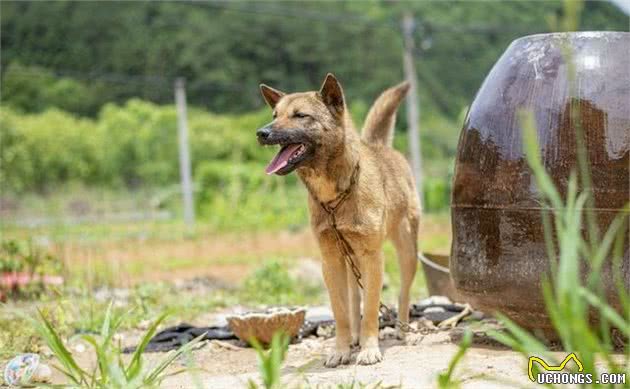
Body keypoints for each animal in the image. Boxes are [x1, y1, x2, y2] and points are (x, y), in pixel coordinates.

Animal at [256, 73, 420, 366]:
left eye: (300, 115)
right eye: (275, 115)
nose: (262, 133)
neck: (334, 197)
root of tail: (380, 146)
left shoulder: (372, 257)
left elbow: (371, 308)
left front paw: (369, 349)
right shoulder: (331, 261)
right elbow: (341, 311)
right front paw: (341, 349)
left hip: (407, 253)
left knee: (402, 293)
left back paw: (403, 331)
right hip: (350, 260)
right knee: (355, 299)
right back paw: (354, 337)